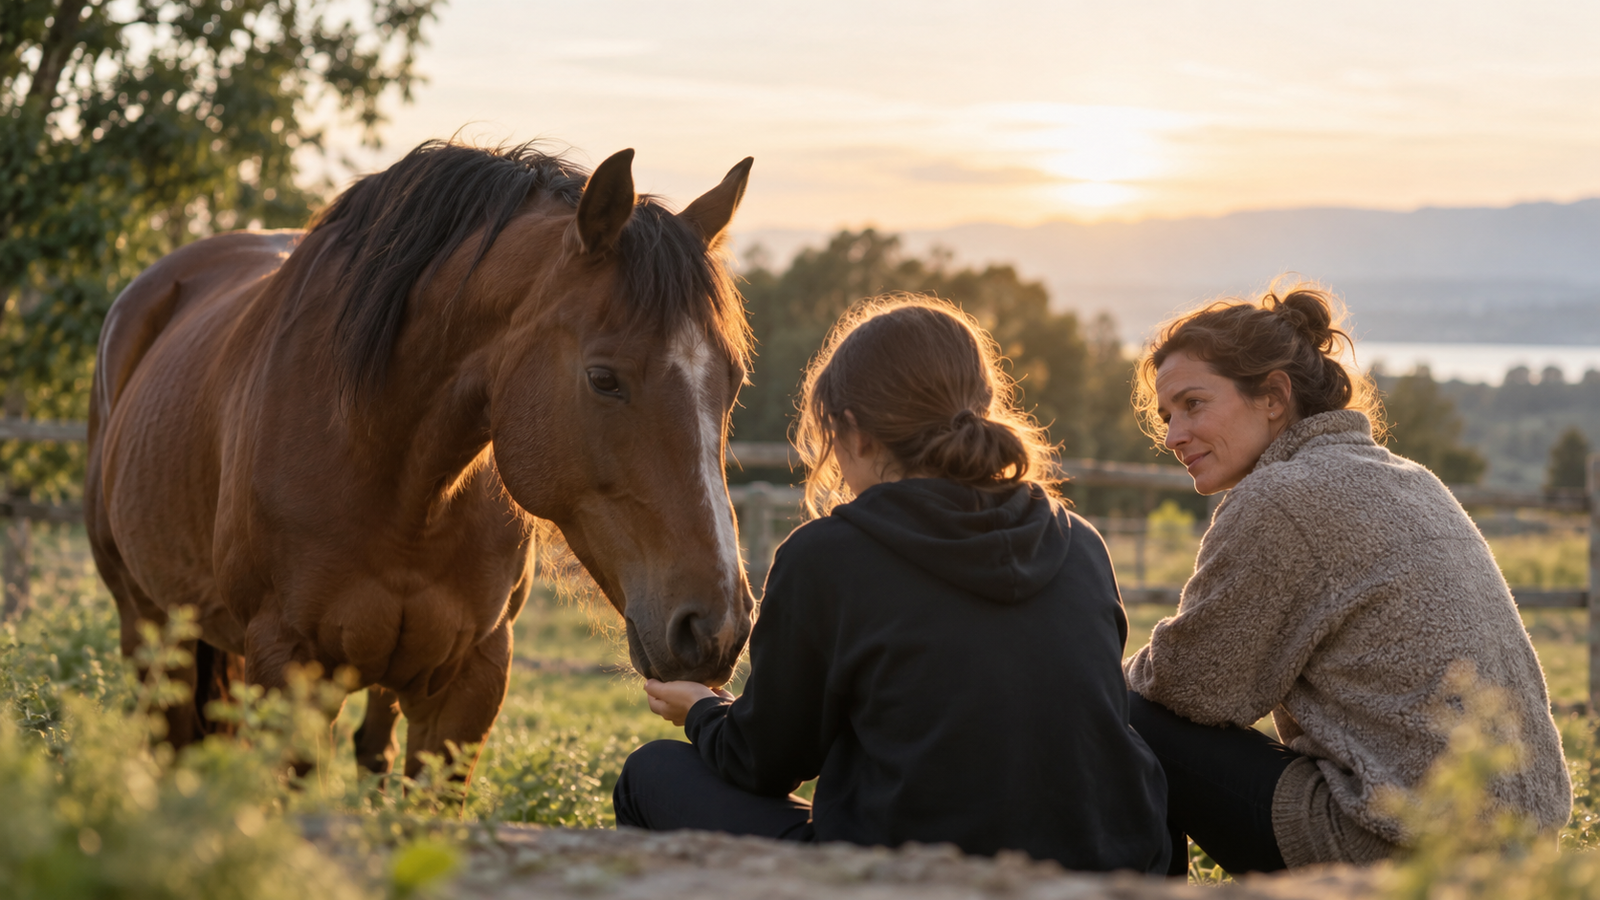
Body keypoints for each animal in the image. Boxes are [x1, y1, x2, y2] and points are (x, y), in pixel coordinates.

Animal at [85, 140, 757, 778]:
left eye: (733, 381)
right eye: (603, 379)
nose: (717, 627)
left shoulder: (470, 682)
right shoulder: (285, 668)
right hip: (149, 631)